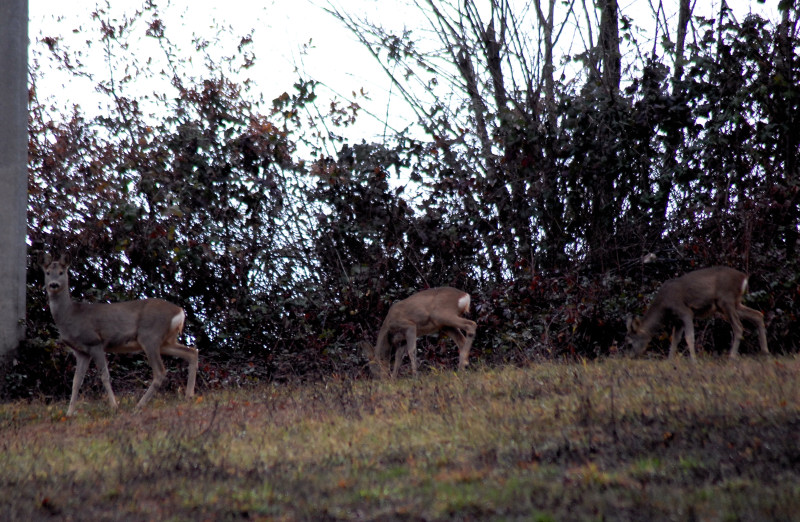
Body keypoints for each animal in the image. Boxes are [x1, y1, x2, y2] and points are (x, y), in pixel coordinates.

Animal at [39, 252, 198, 414]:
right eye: (47, 273)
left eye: (61, 272)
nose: (53, 285)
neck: (70, 315)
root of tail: (180, 312)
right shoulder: (81, 351)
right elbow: (76, 381)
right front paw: (69, 413)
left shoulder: (95, 342)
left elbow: (105, 376)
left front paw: (114, 407)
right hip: (165, 341)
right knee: (191, 352)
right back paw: (189, 396)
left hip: (150, 336)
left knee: (160, 372)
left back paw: (139, 405)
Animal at [624, 266, 768, 360]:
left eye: (630, 343)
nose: (630, 357)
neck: (664, 306)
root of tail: (744, 278)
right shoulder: (677, 320)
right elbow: (675, 340)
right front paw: (670, 361)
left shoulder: (685, 311)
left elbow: (689, 337)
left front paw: (693, 360)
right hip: (734, 303)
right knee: (757, 315)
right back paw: (765, 352)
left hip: (726, 300)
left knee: (738, 326)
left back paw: (732, 357)